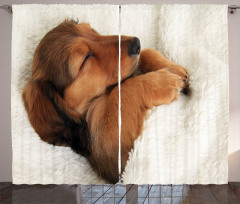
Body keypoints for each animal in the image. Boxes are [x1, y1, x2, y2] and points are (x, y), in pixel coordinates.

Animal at [21, 20, 188, 183]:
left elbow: (145, 54)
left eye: (91, 29)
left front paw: (173, 68)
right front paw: (164, 82)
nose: (136, 43)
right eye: (85, 59)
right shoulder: (110, 152)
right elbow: (120, 90)